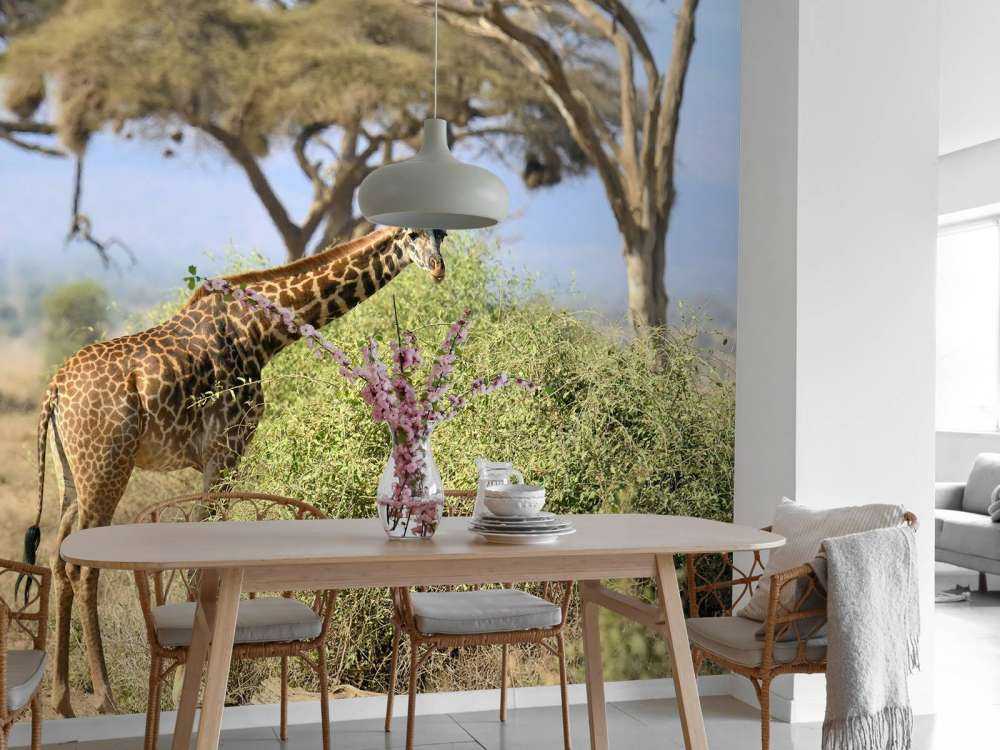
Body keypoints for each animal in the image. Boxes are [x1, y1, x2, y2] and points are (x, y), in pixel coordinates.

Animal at [23, 226, 447, 717]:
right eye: (412, 235)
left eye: (442, 235)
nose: (438, 268)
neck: (262, 332)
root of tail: (54, 390)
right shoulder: (225, 449)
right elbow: (199, 565)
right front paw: (185, 692)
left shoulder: (219, 456)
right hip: (106, 465)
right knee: (83, 569)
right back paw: (106, 699)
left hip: (71, 473)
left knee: (57, 556)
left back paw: (63, 701)